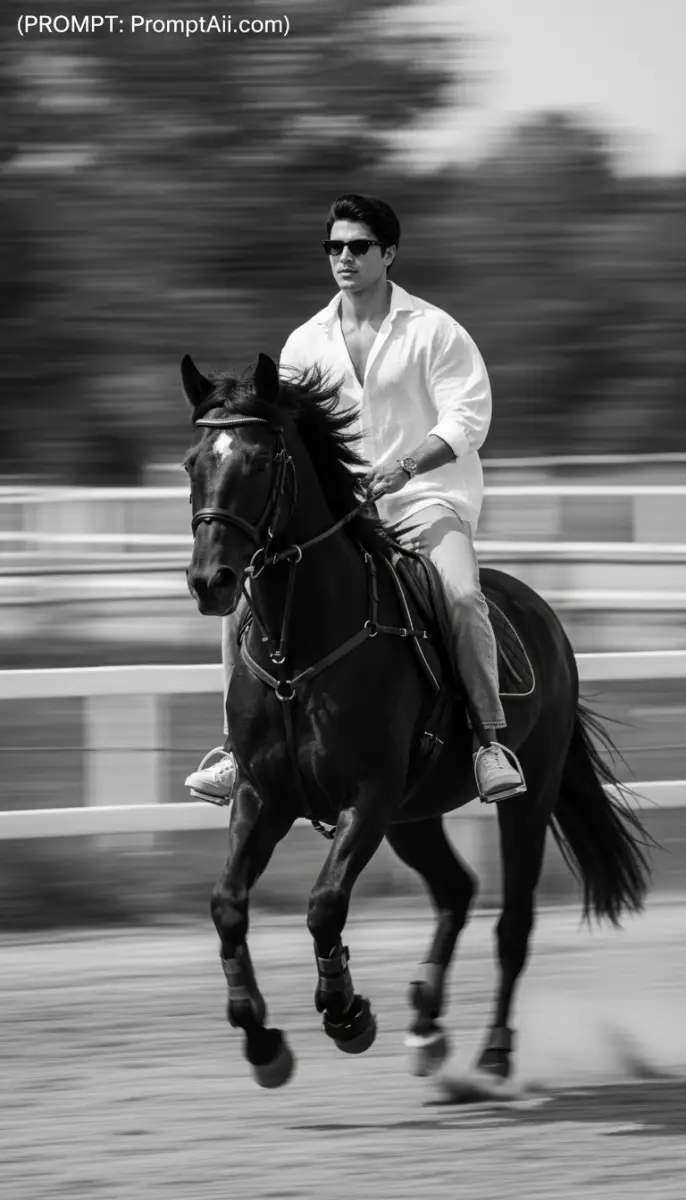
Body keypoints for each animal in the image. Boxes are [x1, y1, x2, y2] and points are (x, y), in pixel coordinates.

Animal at [182, 351, 651, 1090]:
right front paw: (261, 1040)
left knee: (512, 921)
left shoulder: (367, 798)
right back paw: (427, 1023)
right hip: (415, 816)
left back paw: (493, 1052)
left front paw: (346, 1014)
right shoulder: (264, 797)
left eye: (258, 461)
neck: (302, 649)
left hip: (526, 799)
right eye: (191, 462)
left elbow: (324, 903)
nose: (211, 582)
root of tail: (543, 616)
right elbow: (228, 904)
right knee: (457, 891)